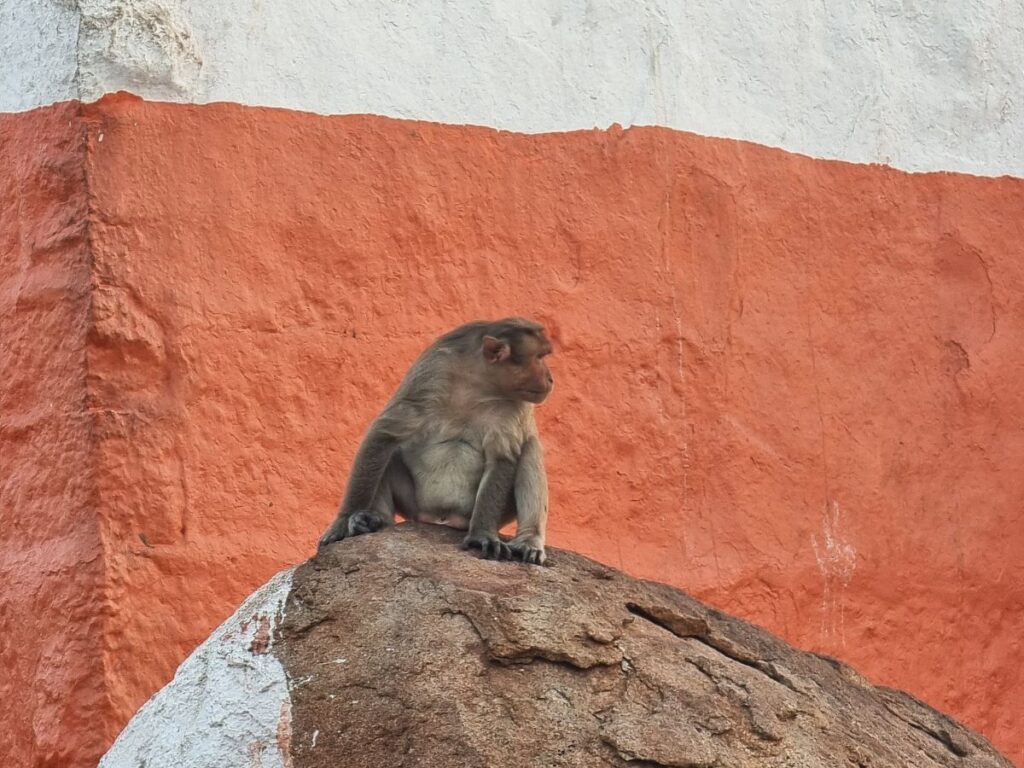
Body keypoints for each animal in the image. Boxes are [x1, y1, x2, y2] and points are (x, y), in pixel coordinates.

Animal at [321, 317, 557, 565]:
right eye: (539, 357)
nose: (551, 378)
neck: (478, 383)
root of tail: (442, 519)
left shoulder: (516, 406)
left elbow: (502, 456)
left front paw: (482, 534)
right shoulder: (433, 371)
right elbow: (384, 433)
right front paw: (344, 520)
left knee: (530, 447)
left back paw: (529, 540)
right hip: (413, 504)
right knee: (390, 451)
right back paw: (377, 519)